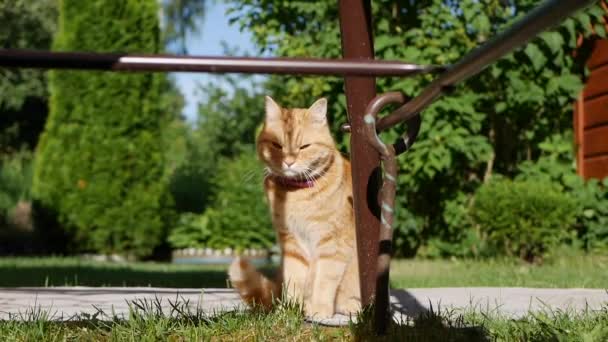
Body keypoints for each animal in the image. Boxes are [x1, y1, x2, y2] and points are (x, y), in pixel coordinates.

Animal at [229, 95, 360, 318]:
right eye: (277, 145)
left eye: (304, 146)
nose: (288, 162)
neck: (297, 194)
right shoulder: (291, 244)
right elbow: (294, 278)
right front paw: (290, 308)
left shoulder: (332, 245)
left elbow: (324, 280)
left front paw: (319, 309)